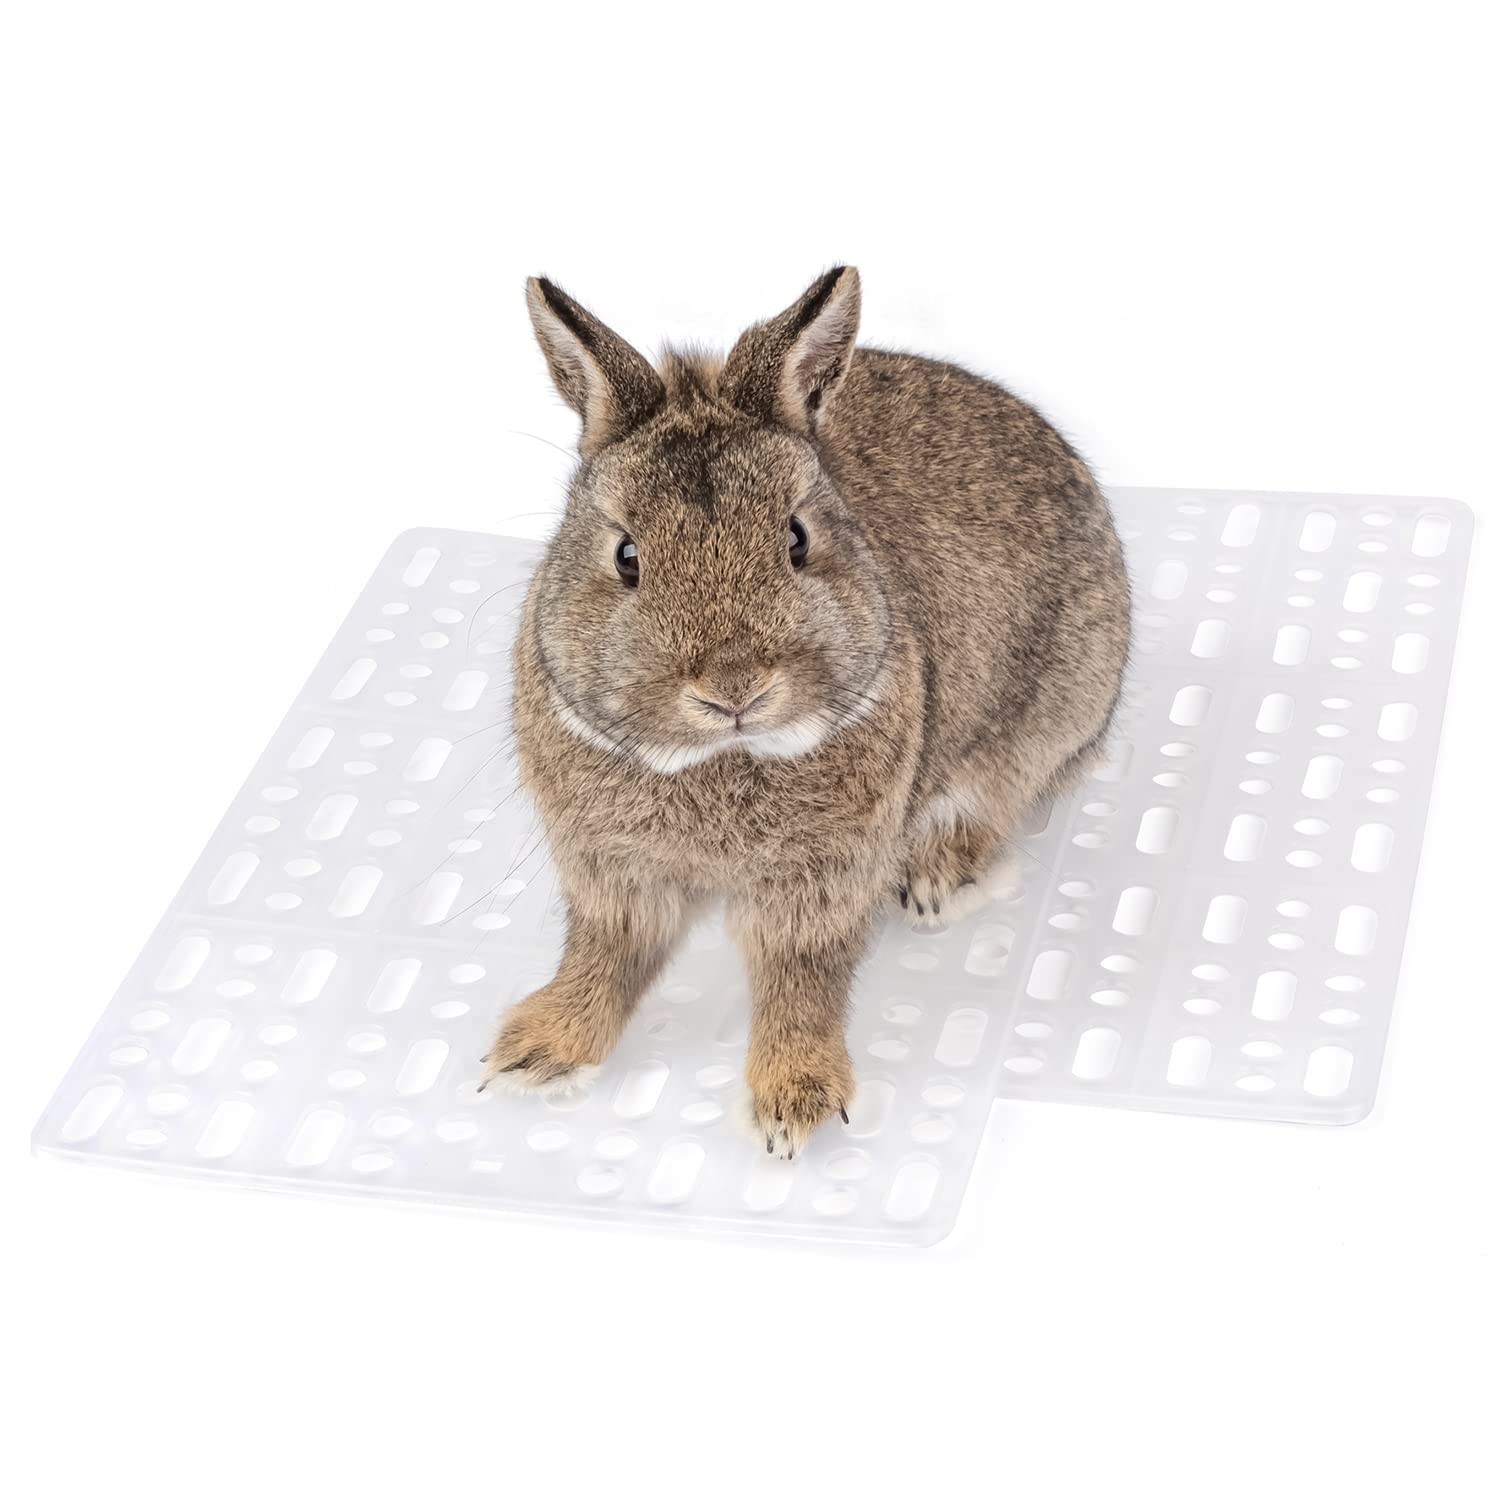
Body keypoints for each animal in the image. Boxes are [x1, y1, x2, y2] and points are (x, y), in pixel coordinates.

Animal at [479, 267, 1130, 1157]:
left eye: (797, 538)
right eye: (626, 557)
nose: (734, 686)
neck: (718, 759)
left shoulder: (820, 883)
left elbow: (801, 981)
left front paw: (796, 1106)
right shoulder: (614, 875)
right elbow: (604, 955)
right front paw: (535, 1052)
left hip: (1044, 720)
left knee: (994, 805)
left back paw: (936, 882)